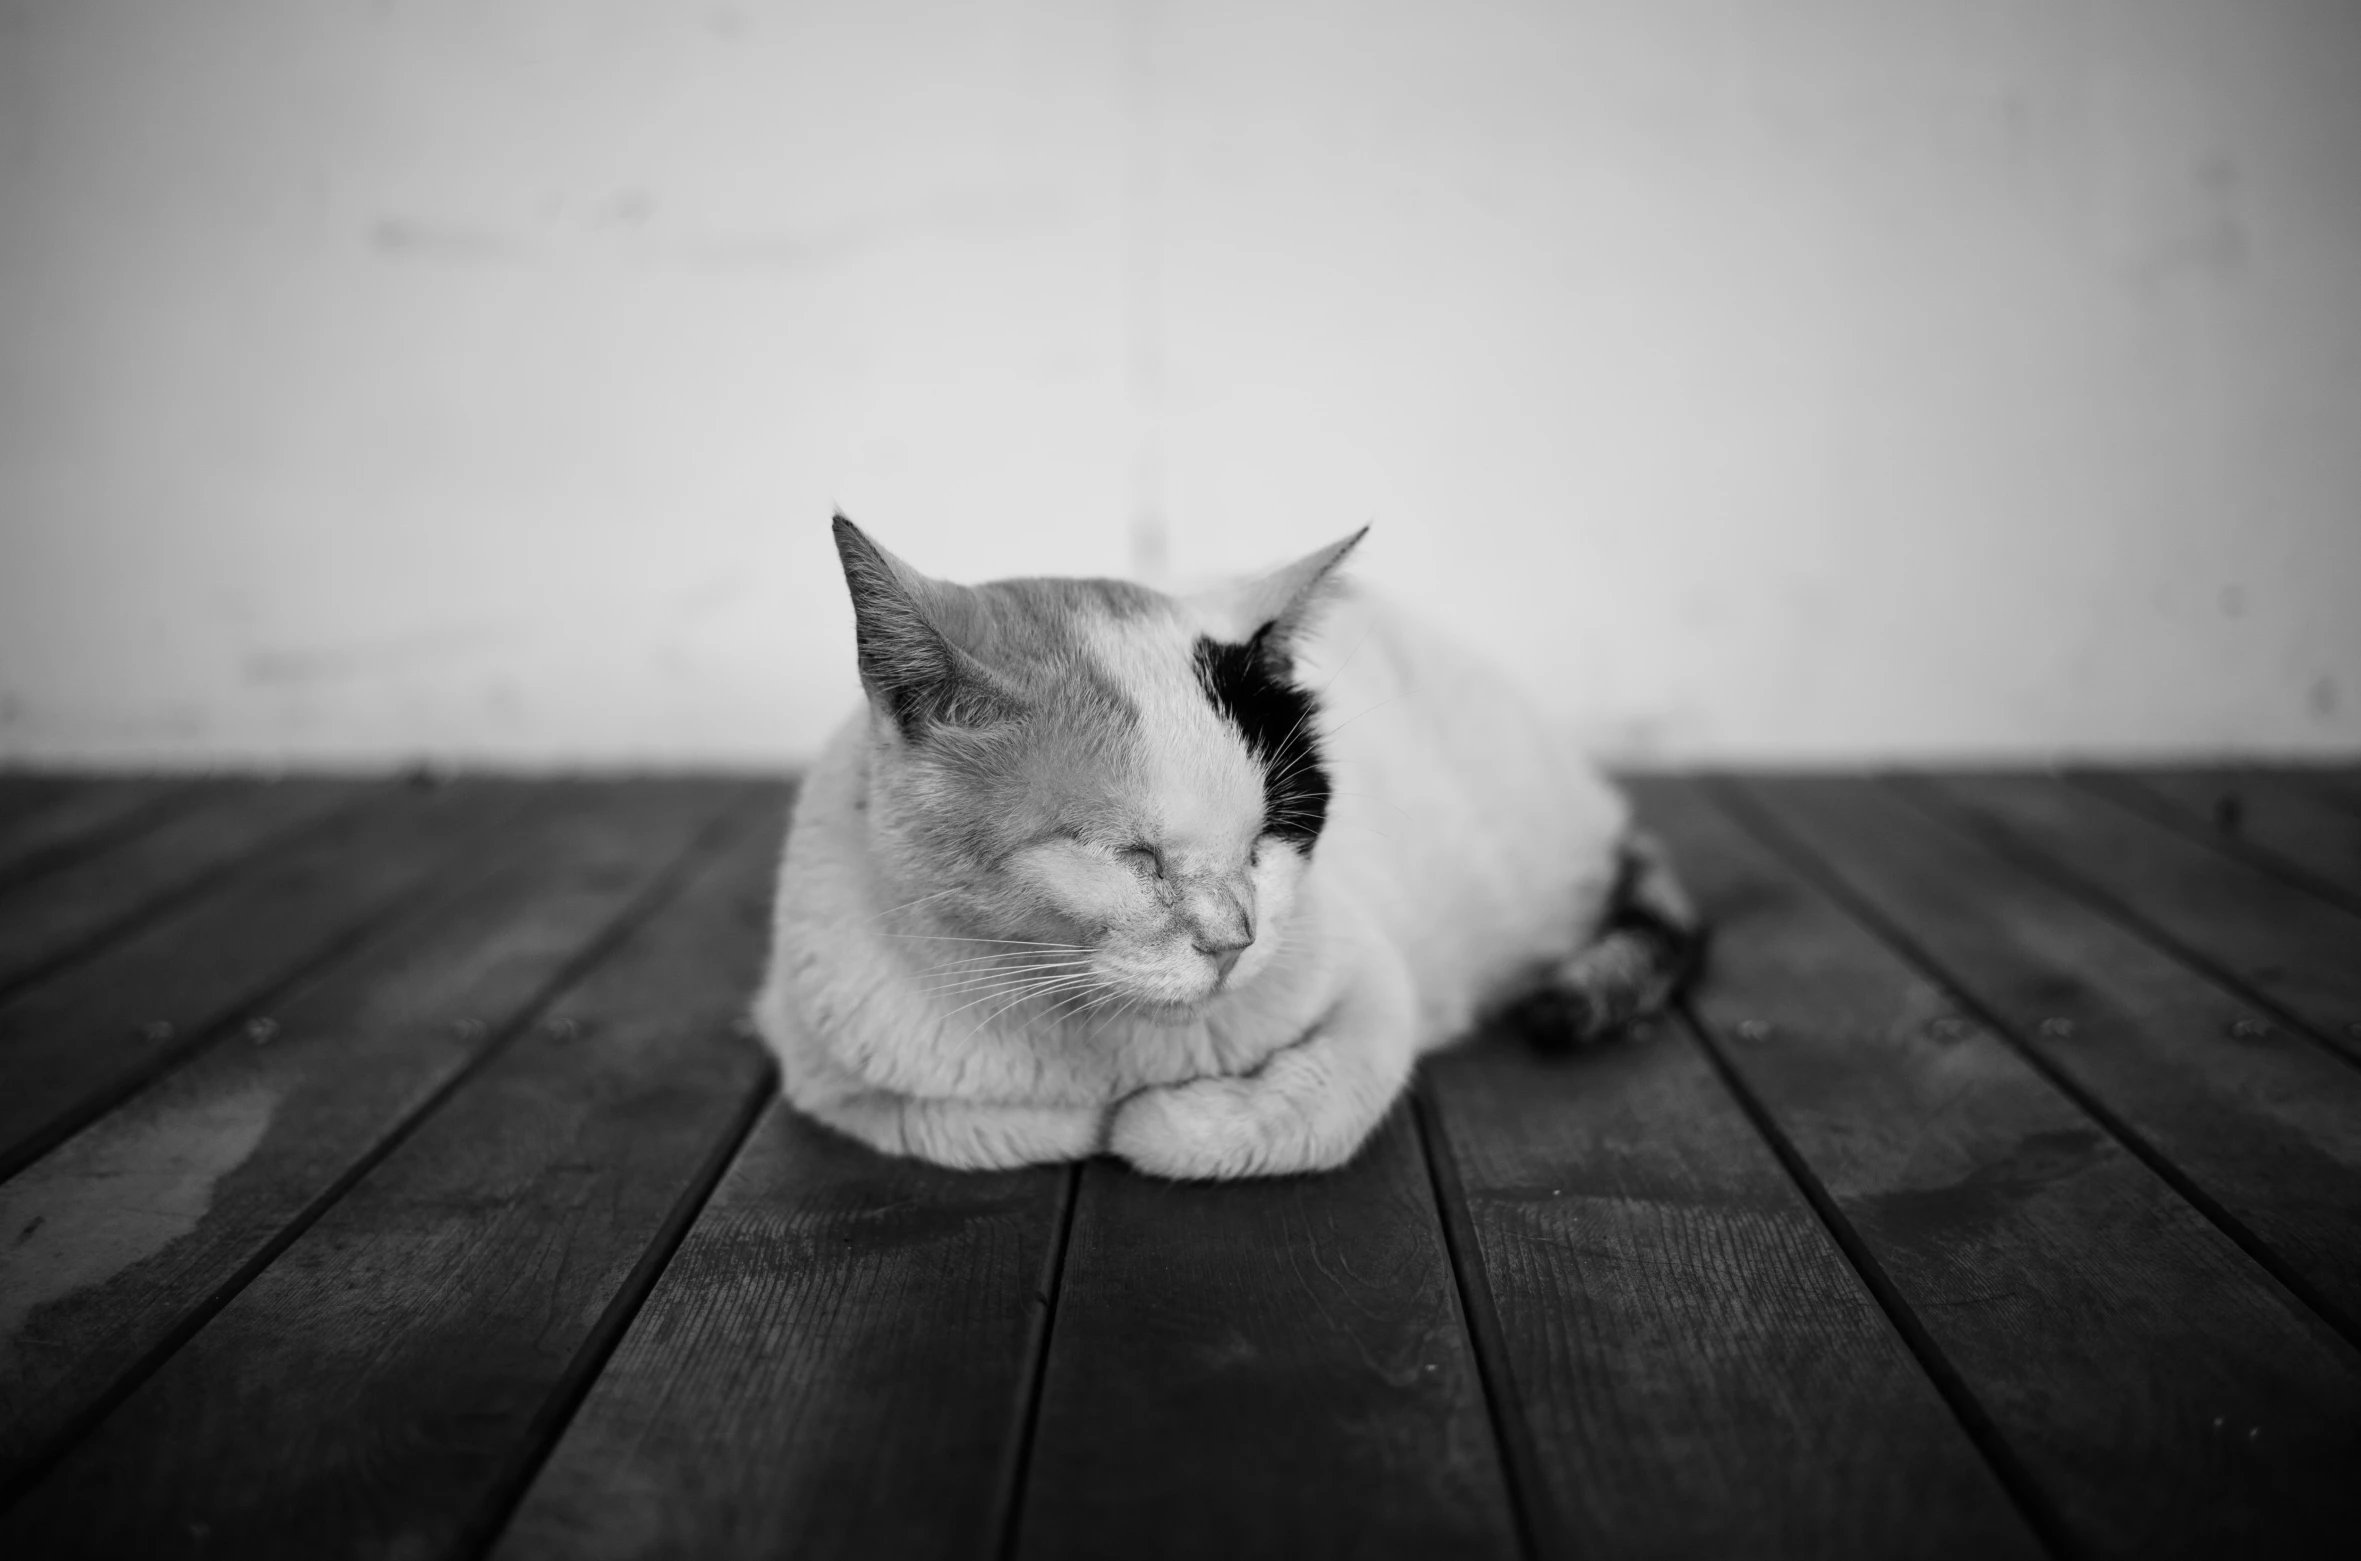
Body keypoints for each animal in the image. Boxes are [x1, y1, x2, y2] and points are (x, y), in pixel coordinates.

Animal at [755, 517, 1699, 1176]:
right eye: (1130, 855)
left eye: (1270, 838)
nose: (1233, 940)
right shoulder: (818, 1063)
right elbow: (974, 1123)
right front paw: (1088, 1120)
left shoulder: (1376, 988)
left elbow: (1313, 1107)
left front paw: (1159, 1121)